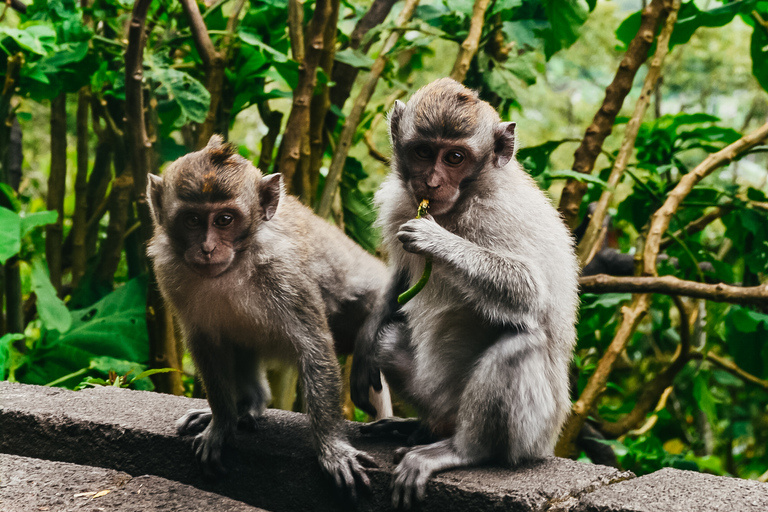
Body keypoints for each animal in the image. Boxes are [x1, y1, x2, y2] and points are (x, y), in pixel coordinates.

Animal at [352, 78, 580, 506]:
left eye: (455, 157)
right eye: (424, 152)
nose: (432, 182)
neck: (462, 202)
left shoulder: (498, 215)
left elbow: (529, 291)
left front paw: (434, 240)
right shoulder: (401, 203)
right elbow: (400, 279)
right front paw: (362, 348)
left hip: (537, 432)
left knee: (519, 343)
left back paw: (463, 450)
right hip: (435, 395)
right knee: (389, 339)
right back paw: (416, 427)